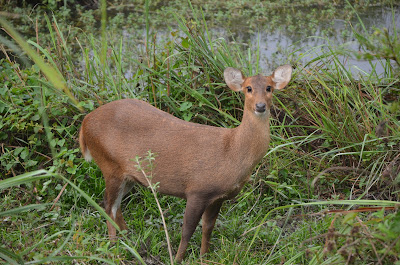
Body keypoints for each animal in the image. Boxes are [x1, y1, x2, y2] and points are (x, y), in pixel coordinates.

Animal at [79, 63, 290, 260]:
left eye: (269, 87)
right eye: (248, 88)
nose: (260, 106)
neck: (231, 150)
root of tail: (84, 123)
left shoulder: (217, 196)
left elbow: (208, 228)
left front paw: (204, 257)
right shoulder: (197, 190)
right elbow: (187, 231)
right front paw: (178, 258)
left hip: (129, 175)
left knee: (114, 205)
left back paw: (129, 238)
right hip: (109, 164)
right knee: (109, 206)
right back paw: (114, 248)